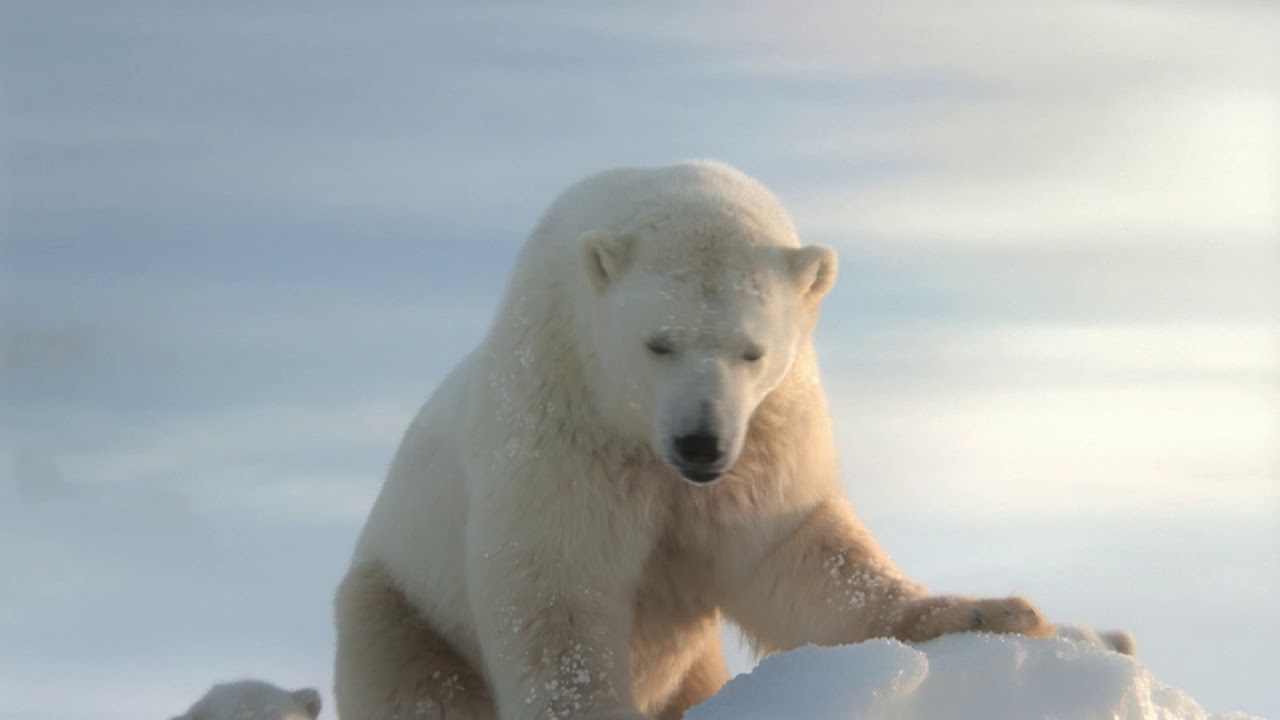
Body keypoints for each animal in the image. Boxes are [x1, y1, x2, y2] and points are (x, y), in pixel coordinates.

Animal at [334, 160, 1054, 720]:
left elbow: (800, 553)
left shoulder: (767, 435)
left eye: (752, 350)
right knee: (419, 690)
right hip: (401, 607)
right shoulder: (563, 422)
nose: (699, 442)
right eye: (659, 342)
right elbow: (558, 588)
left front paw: (996, 613)